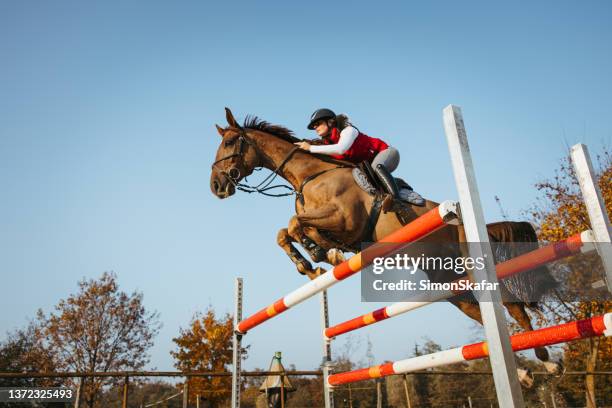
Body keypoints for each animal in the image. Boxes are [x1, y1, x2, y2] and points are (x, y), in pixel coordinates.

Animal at [212, 108, 564, 380]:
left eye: (229, 142)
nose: (216, 186)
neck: (312, 175)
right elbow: (285, 231)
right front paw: (312, 262)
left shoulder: (345, 220)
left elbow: (295, 224)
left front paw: (325, 256)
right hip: (450, 285)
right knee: (483, 314)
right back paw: (524, 372)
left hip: (475, 269)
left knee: (514, 307)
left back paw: (548, 362)